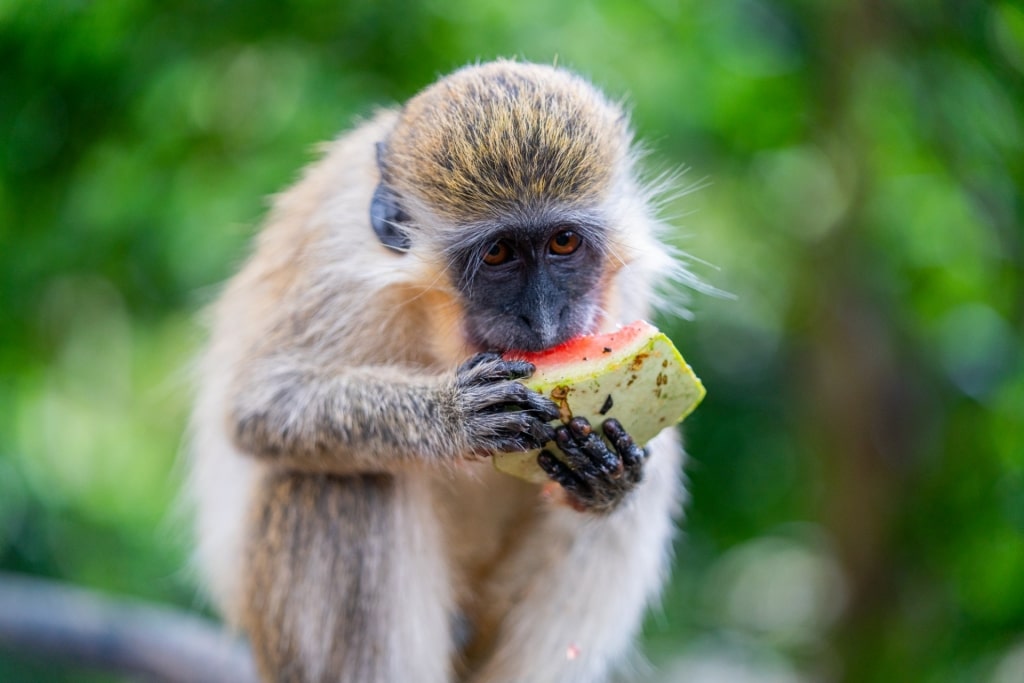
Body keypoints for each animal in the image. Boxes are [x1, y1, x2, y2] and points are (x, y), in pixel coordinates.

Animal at [190, 60, 688, 683]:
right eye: (498, 254)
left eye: (564, 242)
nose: (544, 320)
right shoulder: (338, 255)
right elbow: (261, 406)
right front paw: (451, 415)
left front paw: (607, 477)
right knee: (341, 482)